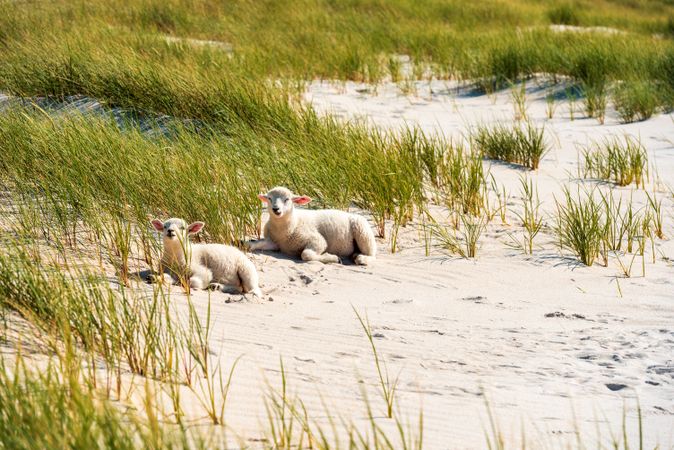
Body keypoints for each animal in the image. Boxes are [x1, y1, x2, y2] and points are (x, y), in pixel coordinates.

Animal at [245, 185, 376, 266]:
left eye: (287, 199)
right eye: (269, 198)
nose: (276, 209)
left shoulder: (317, 240)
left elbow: (306, 255)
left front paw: (333, 258)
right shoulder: (274, 242)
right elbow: (256, 244)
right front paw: (247, 245)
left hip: (363, 232)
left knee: (372, 254)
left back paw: (361, 259)